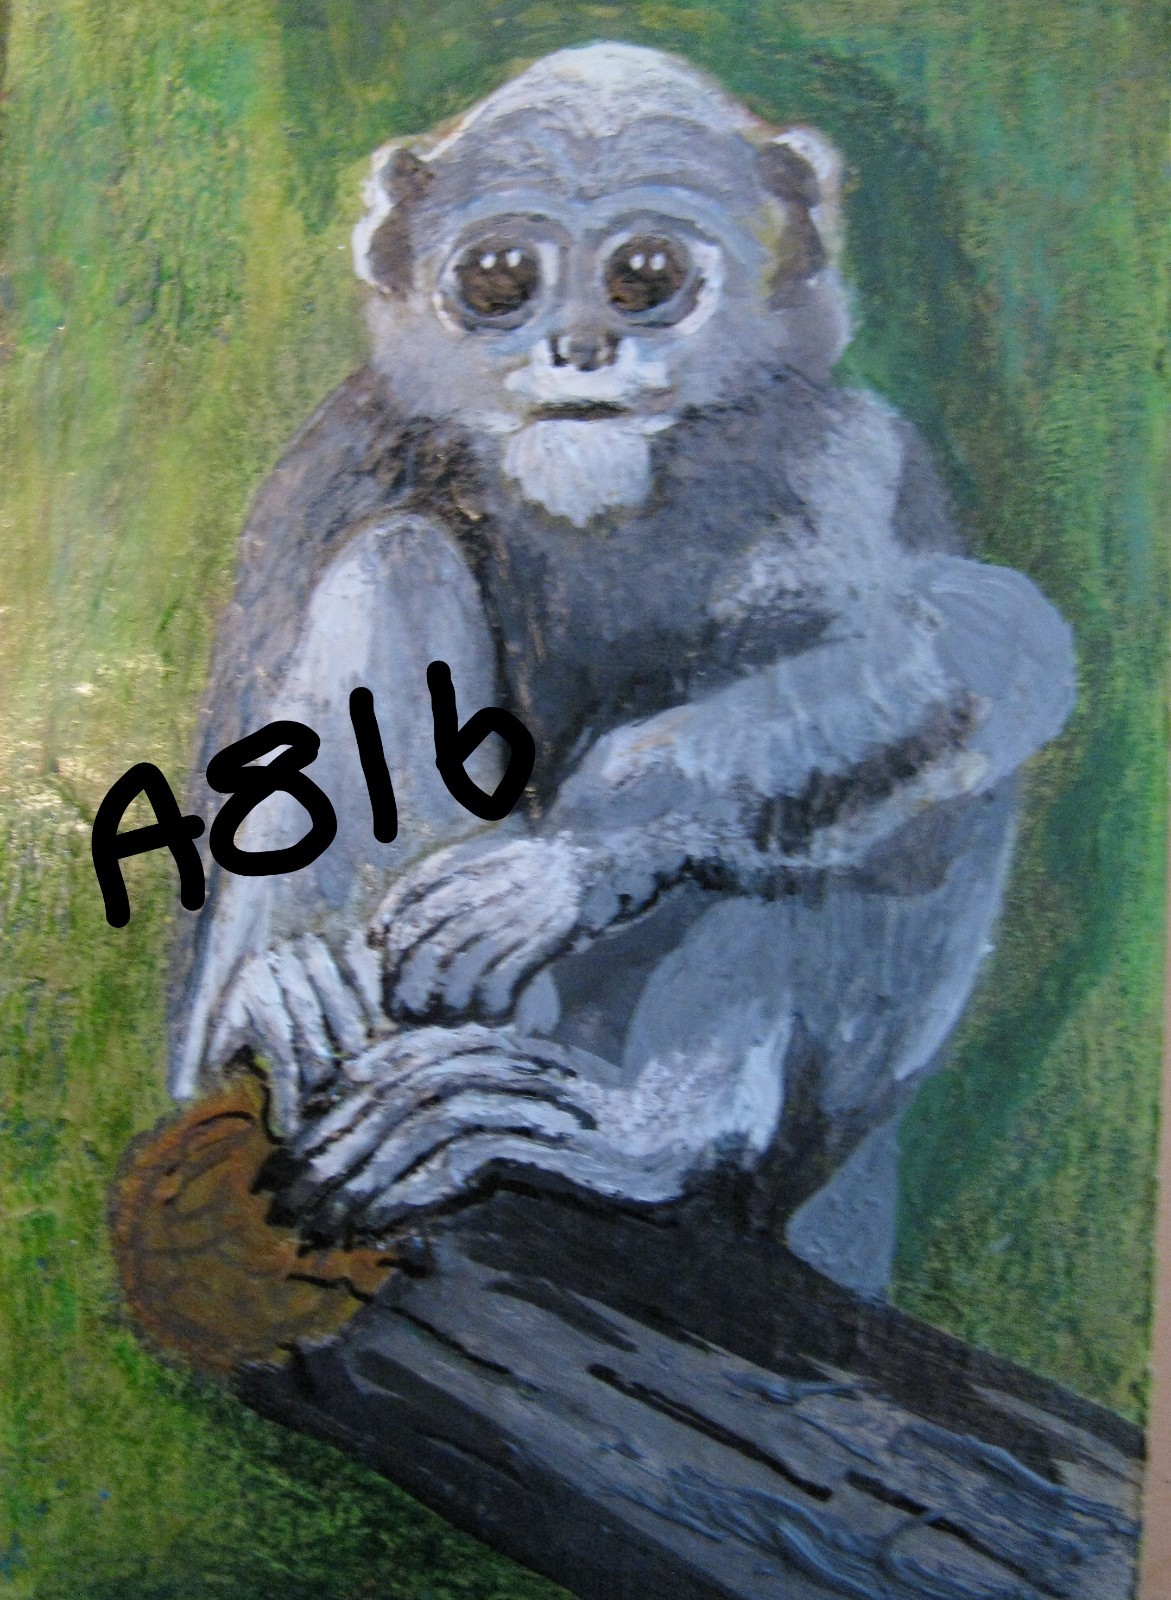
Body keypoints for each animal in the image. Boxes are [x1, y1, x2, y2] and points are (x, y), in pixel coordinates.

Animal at [167, 42, 1075, 1297]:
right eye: (501, 276)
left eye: (645, 273)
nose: (582, 347)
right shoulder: (335, 456)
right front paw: (276, 977)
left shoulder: (851, 458)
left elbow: (998, 642)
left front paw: (560, 864)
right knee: (393, 555)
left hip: (820, 1113)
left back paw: (656, 1125)